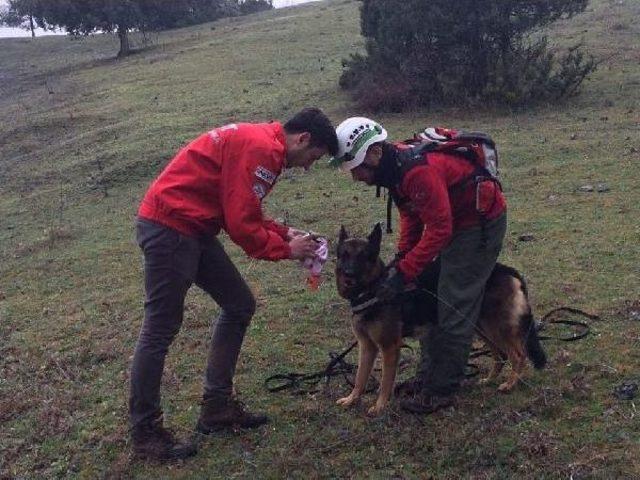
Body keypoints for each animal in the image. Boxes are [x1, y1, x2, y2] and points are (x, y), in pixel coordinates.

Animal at [336, 225, 544, 416]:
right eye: (344, 255)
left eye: (363, 256)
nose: (348, 274)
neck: (372, 290)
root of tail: (509, 270)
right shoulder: (367, 346)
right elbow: (360, 377)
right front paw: (352, 399)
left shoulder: (389, 347)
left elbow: (386, 381)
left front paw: (379, 406)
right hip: (481, 328)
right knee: (500, 354)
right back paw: (489, 380)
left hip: (495, 327)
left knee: (518, 354)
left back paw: (510, 384)